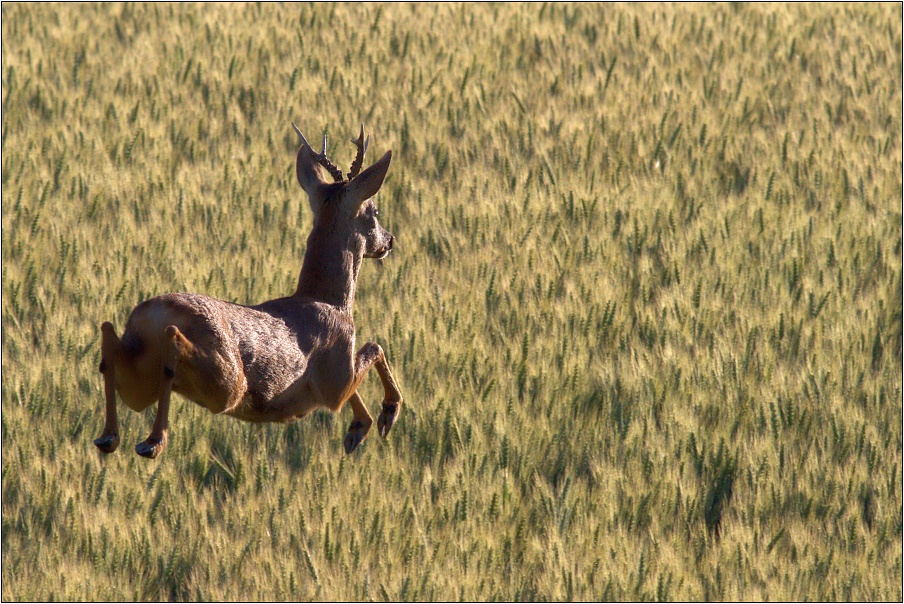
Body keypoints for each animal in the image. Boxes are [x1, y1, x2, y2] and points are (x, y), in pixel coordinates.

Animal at [95, 122, 402, 458]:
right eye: (374, 211)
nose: (389, 240)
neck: (328, 300)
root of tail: (152, 315)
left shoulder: (338, 381)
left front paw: (358, 428)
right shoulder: (336, 379)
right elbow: (375, 348)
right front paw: (387, 412)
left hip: (140, 380)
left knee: (112, 347)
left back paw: (109, 437)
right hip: (226, 382)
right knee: (175, 349)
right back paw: (152, 441)